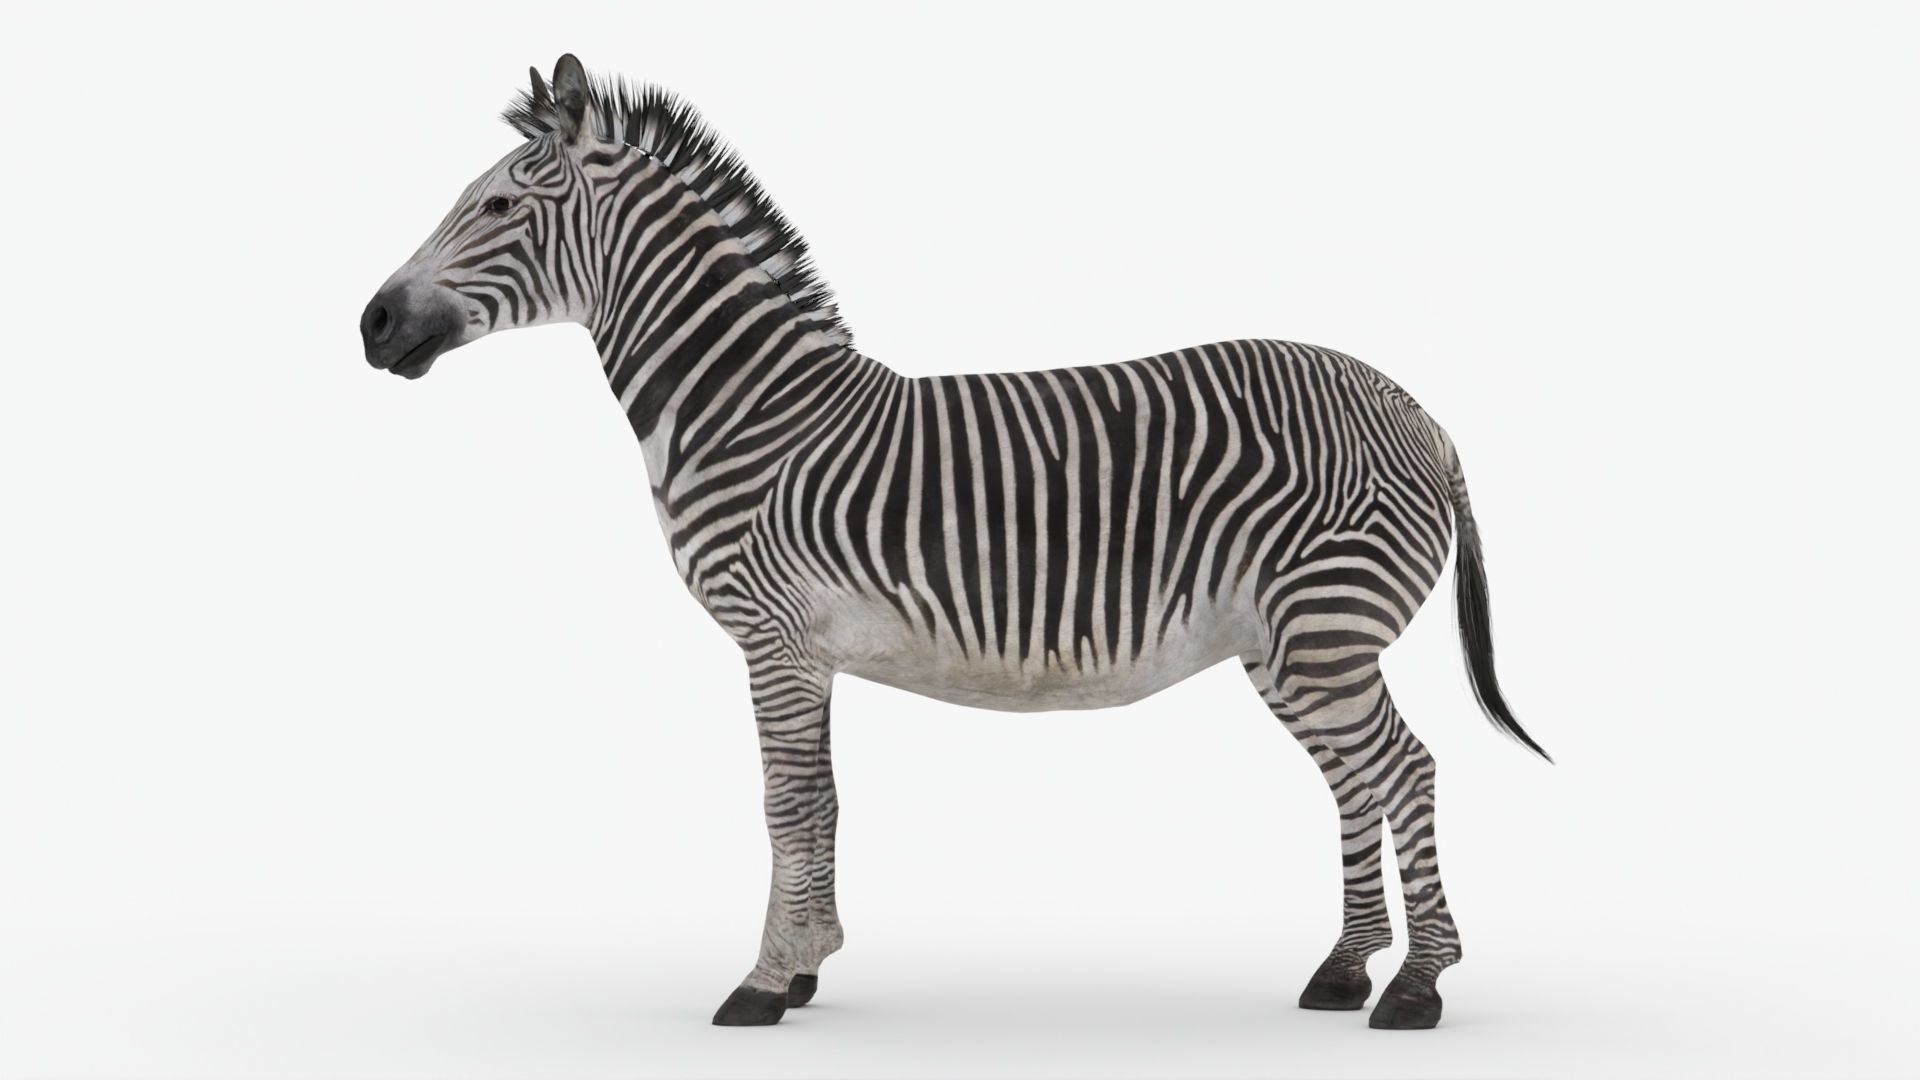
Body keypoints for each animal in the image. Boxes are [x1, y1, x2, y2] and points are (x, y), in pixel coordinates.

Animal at [359, 54, 1549, 1031]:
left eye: (497, 204)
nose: (369, 325)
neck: (756, 414)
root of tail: (1413, 409)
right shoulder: (806, 652)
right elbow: (822, 799)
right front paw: (808, 966)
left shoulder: (773, 639)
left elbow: (786, 801)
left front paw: (761, 983)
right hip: (1292, 646)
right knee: (1359, 781)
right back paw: (1345, 972)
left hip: (1325, 628)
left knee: (1408, 769)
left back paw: (1416, 988)